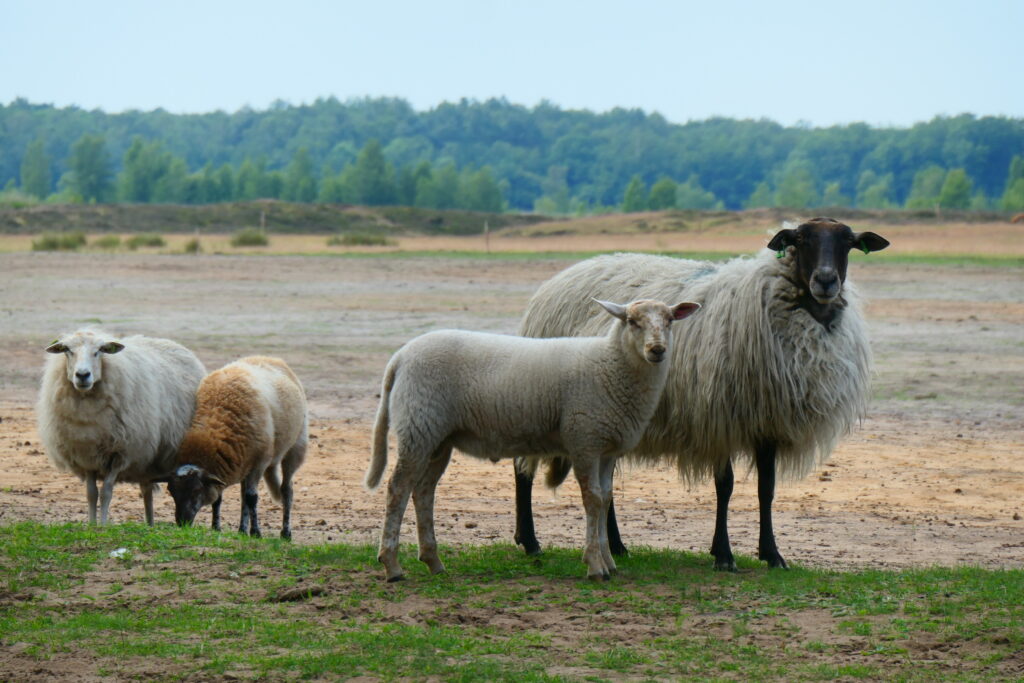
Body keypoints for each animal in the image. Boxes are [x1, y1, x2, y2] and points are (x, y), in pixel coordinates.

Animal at [34, 327, 205, 528]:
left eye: (99, 351)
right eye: (67, 350)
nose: (82, 375)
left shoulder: (120, 454)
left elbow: (106, 492)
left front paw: (103, 525)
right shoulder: (87, 456)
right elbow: (91, 493)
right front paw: (91, 524)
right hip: (146, 459)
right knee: (146, 488)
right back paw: (149, 524)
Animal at [155, 358, 307, 540]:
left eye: (196, 490)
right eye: (171, 491)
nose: (182, 522)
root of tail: (272, 359)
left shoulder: (259, 463)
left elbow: (252, 498)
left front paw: (256, 532)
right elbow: (220, 499)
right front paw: (216, 527)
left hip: (296, 446)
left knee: (286, 490)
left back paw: (285, 532)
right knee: (243, 494)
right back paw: (242, 529)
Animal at [364, 299, 700, 581]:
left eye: (670, 320)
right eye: (632, 321)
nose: (657, 350)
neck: (612, 363)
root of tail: (400, 357)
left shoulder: (608, 448)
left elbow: (605, 499)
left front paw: (609, 561)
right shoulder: (584, 439)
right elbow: (592, 499)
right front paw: (595, 565)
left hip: (439, 439)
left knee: (423, 491)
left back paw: (433, 562)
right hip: (419, 427)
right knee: (398, 488)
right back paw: (392, 565)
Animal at [512, 219, 888, 573]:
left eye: (848, 242)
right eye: (801, 239)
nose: (826, 281)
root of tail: (563, 276)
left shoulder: (767, 422)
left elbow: (766, 489)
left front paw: (772, 554)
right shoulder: (718, 416)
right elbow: (726, 486)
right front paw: (724, 555)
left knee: (605, 482)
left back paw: (617, 545)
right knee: (522, 467)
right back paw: (530, 541)